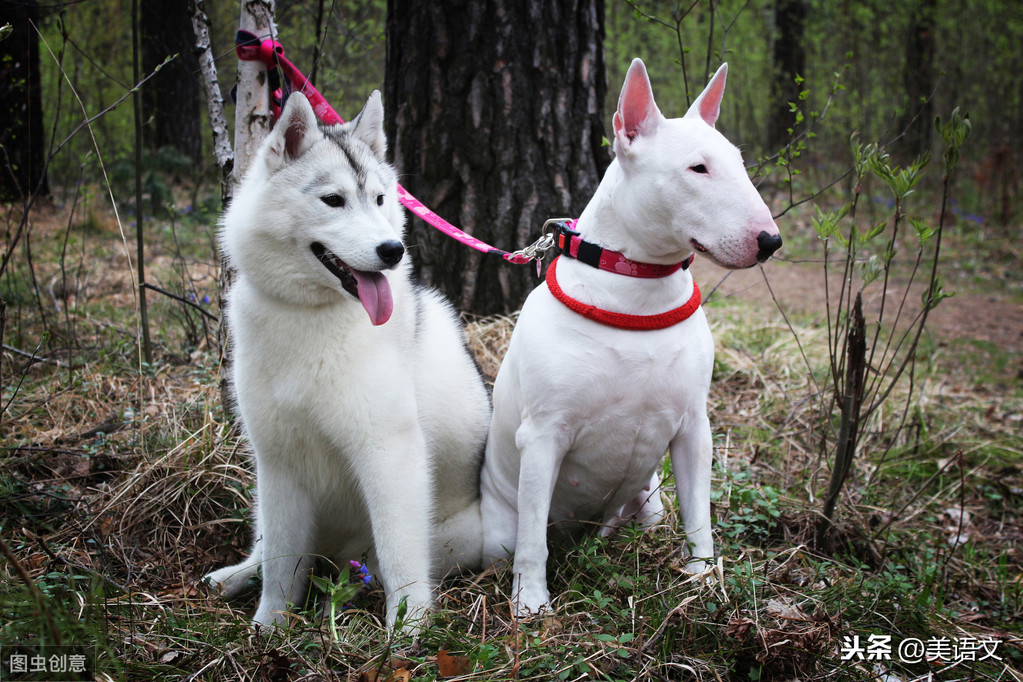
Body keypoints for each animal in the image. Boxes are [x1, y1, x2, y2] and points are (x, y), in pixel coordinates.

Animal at [204, 92, 491, 633]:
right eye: (333, 200)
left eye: (379, 200)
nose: (393, 250)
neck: (310, 314)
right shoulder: (279, 463)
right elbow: (281, 563)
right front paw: (269, 627)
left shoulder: (388, 454)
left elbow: (400, 556)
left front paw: (407, 630)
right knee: (267, 546)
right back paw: (237, 574)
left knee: (377, 560)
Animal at [480, 58, 781, 617]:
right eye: (697, 169)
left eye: (738, 162)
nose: (770, 241)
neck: (638, 287)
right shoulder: (543, 436)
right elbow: (533, 539)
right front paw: (531, 607)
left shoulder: (694, 426)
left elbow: (699, 513)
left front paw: (702, 581)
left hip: (646, 492)